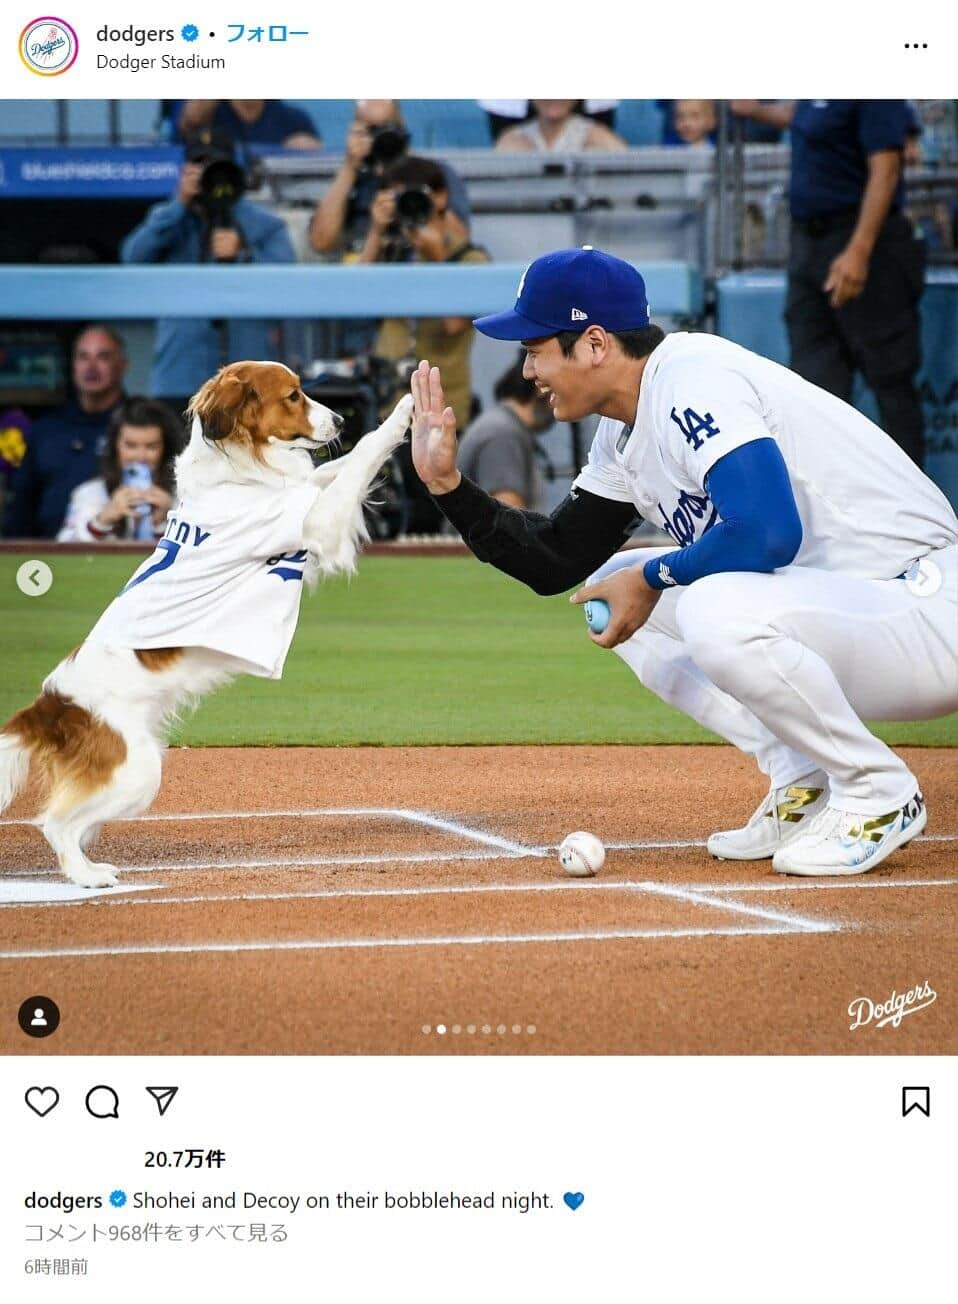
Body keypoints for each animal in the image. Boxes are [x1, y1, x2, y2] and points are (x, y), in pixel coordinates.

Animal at [0, 359, 411, 886]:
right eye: (294, 396)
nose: (341, 420)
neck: (237, 473)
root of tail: (50, 705)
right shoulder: (316, 521)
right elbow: (363, 457)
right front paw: (406, 410)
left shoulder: (304, 496)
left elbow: (340, 465)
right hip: (137, 770)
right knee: (55, 822)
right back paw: (87, 876)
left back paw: (88, 865)